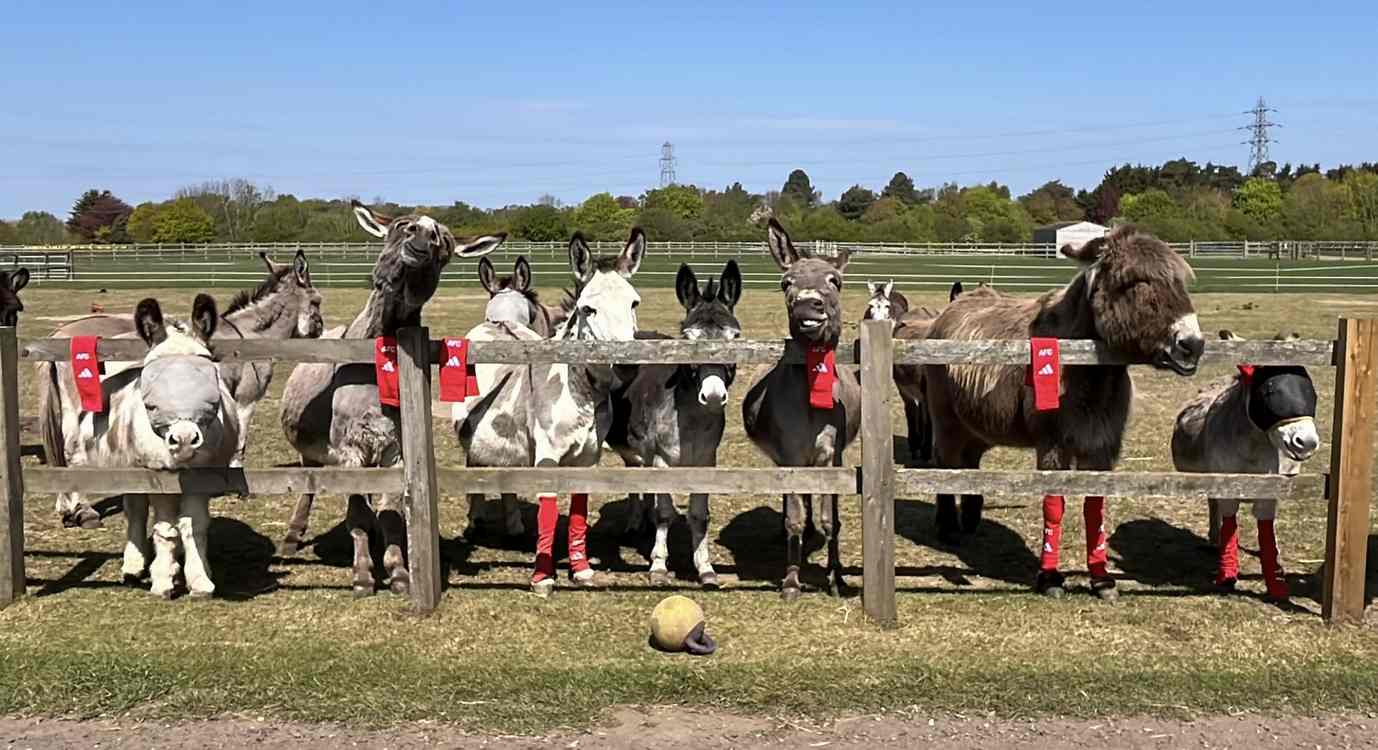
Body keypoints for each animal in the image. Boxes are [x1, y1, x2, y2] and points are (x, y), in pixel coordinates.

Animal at [279, 201, 504, 596]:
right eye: (401, 226)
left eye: (444, 243)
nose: (421, 241)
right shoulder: (350, 448)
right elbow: (355, 514)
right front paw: (363, 574)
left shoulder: (394, 450)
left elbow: (391, 514)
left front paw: (397, 570)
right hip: (315, 452)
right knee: (309, 487)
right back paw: (293, 537)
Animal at [607, 260, 743, 588]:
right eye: (688, 339)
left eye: (735, 338)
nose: (713, 396)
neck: (691, 421)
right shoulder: (661, 460)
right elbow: (666, 514)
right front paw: (658, 566)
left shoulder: (706, 461)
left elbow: (700, 516)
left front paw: (705, 568)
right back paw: (636, 523)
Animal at [742, 219, 861, 600]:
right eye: (786, 283)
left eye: (835, 281)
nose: (809, 308)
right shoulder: (791, 453)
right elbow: (793, 515)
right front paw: (792, 580)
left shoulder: (832, 455)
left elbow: (831, 520)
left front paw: (836, 578)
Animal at [920, 224, 1205, 599]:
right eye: (1133, 282)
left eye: (1179, 282)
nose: (1192, 345)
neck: (1089, 370)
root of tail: (954, 307)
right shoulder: (1052, 443)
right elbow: (1054, 505)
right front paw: (1050, 577)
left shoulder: (1100, 443)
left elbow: (1095, 506)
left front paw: (1101, 578)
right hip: (947, 419)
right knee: (947, 463)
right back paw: (947, 526)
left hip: (979, 425)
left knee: (969, 462)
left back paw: (969, 519)